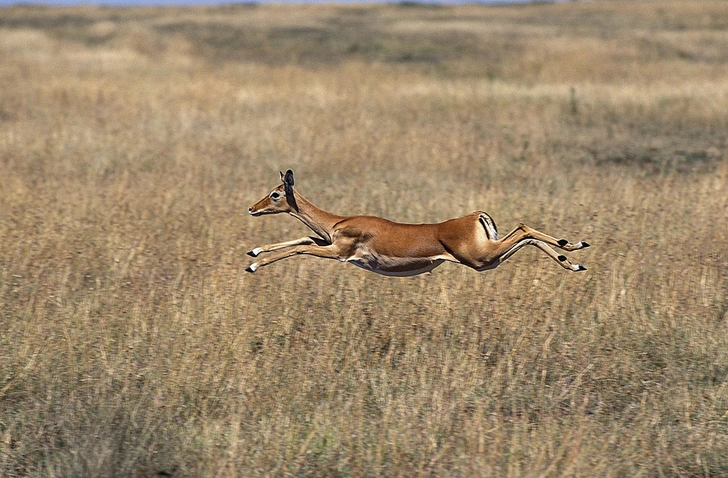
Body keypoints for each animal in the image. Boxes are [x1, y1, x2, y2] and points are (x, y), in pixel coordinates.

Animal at [247, 171, 588, 276]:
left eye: (275, 194)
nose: (252, 208)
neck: (338, 222)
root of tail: (475, 216)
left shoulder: (340, 252)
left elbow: (300, 249)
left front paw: (252, 265)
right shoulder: (326, 241)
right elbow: (303, 240)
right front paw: (253, 251)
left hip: (481, 258)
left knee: (524, 228)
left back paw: (572, 250)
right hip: (489, 259)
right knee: (526, 235)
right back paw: (573, 256)